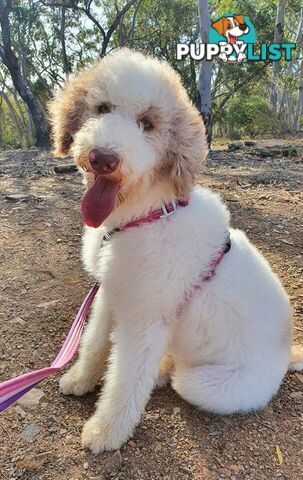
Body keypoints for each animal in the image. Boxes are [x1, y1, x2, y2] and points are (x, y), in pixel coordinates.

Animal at [49, 48, 300, 454]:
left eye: (148, 123)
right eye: (101, 108)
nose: (103, 158)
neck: (149, 214)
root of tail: (286, 359)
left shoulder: (145, 322)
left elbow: (125, 380)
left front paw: (106, 431)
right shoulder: (112, 295)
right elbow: (94, 343)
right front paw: (80, 379)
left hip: (205, 385)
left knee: (177, 378)